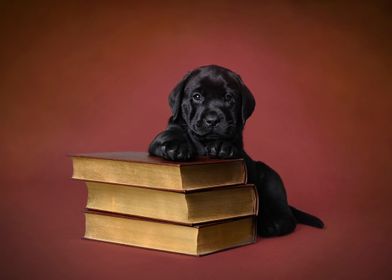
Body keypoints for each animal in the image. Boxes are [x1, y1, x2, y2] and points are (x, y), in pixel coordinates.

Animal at [149, 65, 324, 236]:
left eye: (228, 98)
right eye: (197, 96)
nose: (212, 120)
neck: (204, 143)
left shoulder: (240, 152)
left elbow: (232, 145)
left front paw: (222, 146)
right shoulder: (160, 138)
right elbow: (169, 134)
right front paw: (176, 146)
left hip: (271, 177)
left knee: (286, 215)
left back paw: (272, 224)